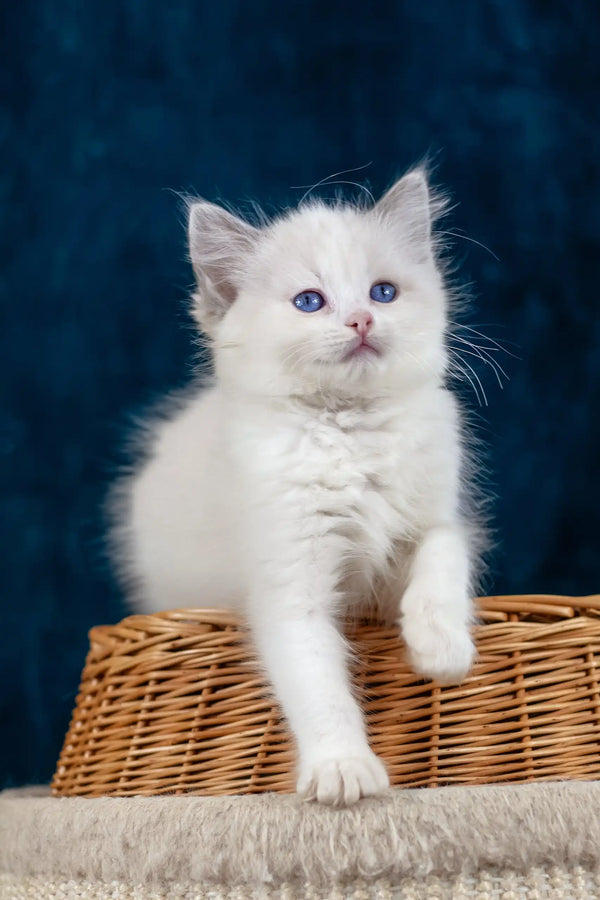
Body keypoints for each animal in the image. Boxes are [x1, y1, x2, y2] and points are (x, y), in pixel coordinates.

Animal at [109, 169, 488, 808]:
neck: (352, 430)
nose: (361, 319)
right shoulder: (289, 579)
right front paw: (343, 768)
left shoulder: (436, 514)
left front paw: (441, 647)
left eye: (383, 292)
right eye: (310, 302)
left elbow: (443, 556)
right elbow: (315, 680)